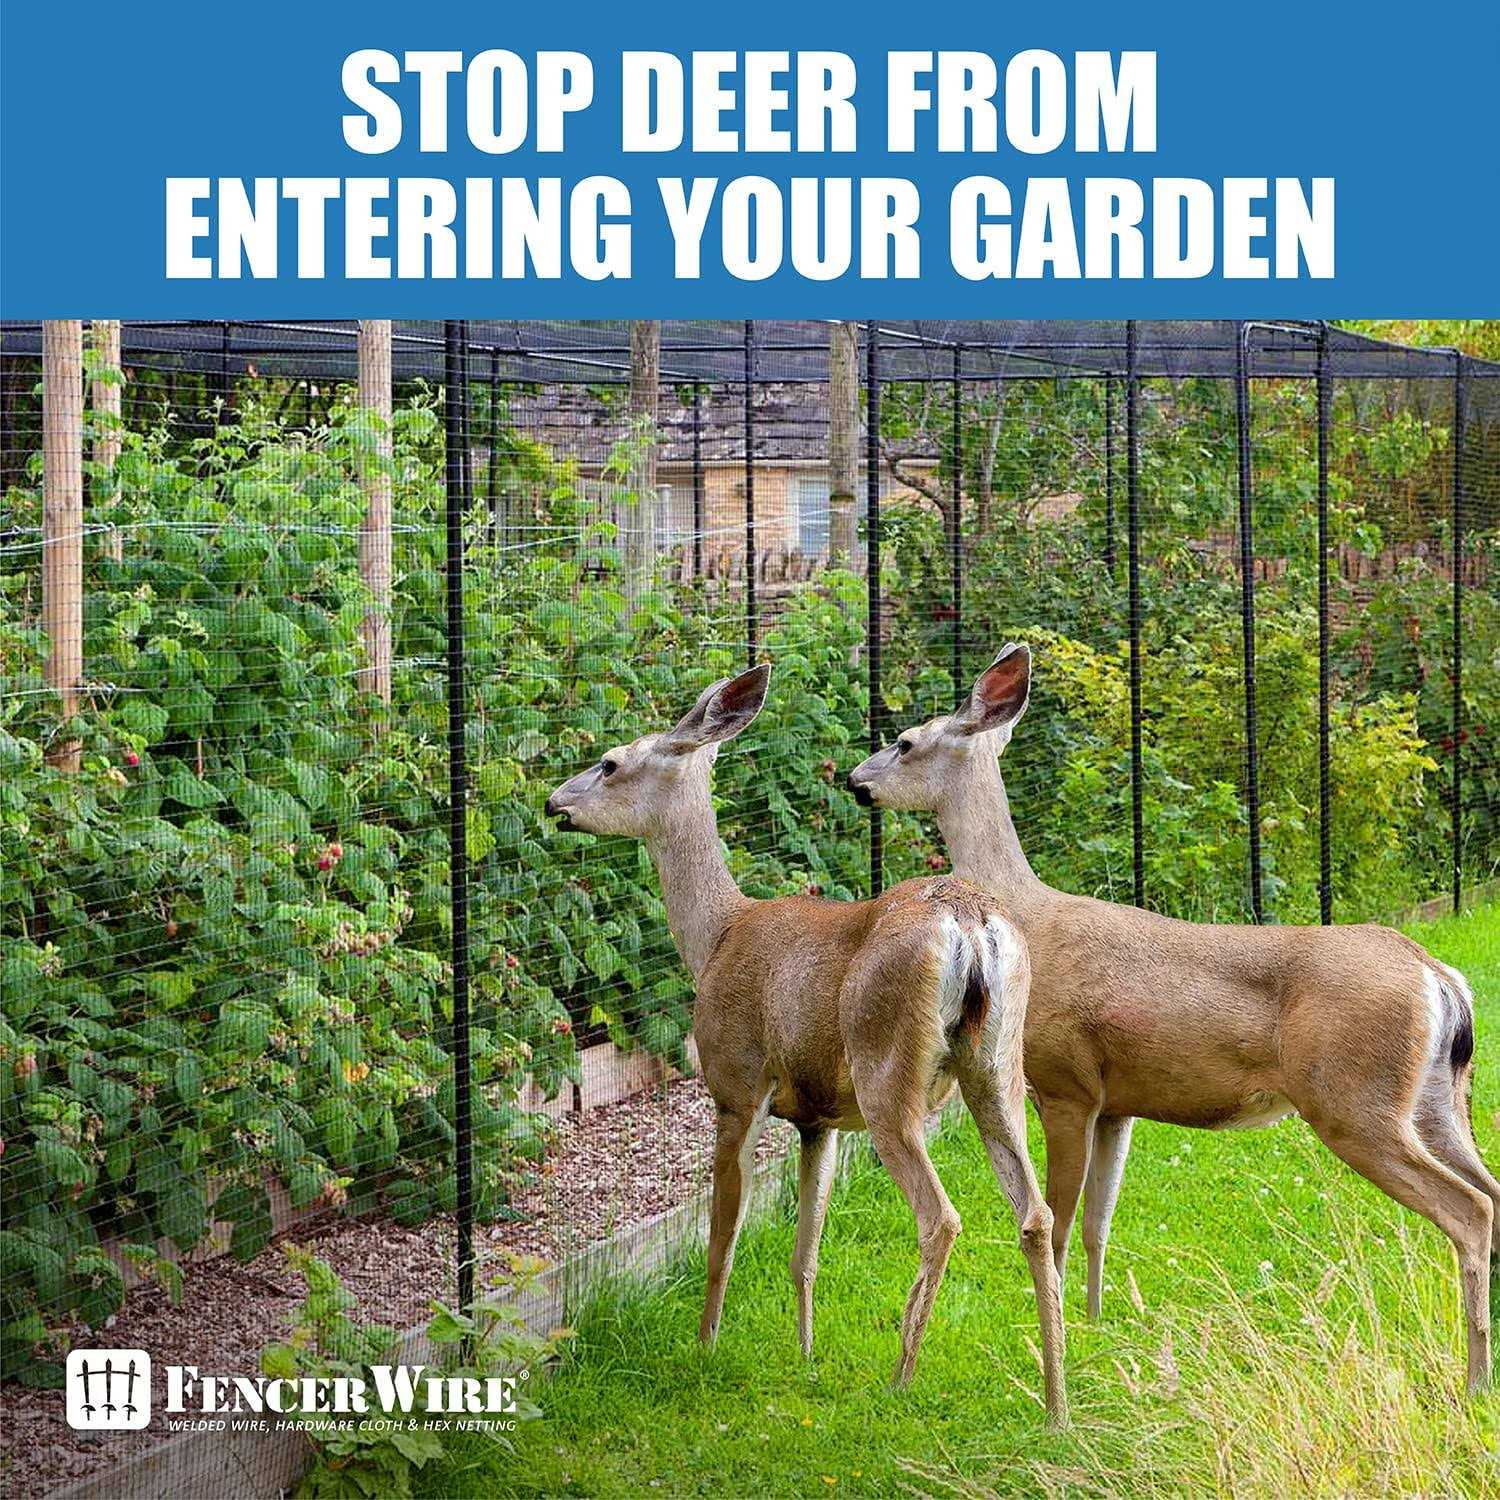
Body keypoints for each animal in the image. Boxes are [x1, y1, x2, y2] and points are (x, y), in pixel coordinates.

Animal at [544, 663, 1068, 1423]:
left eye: (610, 763)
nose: (555, 802)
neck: (717, 936)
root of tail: (970, 923)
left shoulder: (736, 1086)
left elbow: (722, 1238)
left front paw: (705, 1345)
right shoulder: (819, 1119)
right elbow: (805, 1249)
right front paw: (806, 1354)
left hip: (887, 1072)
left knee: (941, 1217)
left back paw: (901, 1378)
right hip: (997, 1065)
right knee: (1035, 1213)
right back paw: (1056, 1405)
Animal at [848, 642, 1497, 1393]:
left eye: (905, 742)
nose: (856, 781)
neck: (1030, 914)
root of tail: (1438, 977)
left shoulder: (1065, 1084)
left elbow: (1062, 1222)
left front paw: (1058, 1333)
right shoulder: (1117, 1103)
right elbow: (1099, 1221)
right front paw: (1096, 1325)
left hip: (1355, 1100)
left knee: (1470, 1209)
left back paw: (1474, 1379)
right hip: (1436, 1099)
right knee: (1493, 1192)